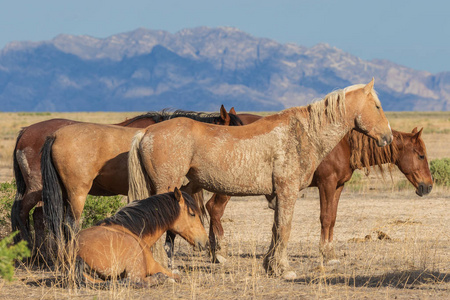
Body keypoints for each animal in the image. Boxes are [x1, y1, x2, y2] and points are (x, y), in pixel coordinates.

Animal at [74, 189, 207, 288]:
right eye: (192, 214)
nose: (204, 240)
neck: (131, 229)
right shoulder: (154, 265)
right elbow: (177, 276)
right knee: (137, 281)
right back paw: (161, 278)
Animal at [127, 78, 394, 278]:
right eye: (377, 106)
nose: (388, 137)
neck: (302, 133)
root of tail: (146, 132)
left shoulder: (280, 194)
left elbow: (276, 229)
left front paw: (271, 266)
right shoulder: (288, 191)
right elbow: (285, 227)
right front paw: (284, 269)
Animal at [203, 127, 432, 264]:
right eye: (421, 155)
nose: (428, 187)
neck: (344, 145)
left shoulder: (338, 186)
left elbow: (333, 219)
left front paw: (330, 253)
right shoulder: (326, 185)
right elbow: (325, 218)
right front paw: (325, 254)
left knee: (211, 208)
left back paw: (213, 251)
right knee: (214, 209)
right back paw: (220, 252)